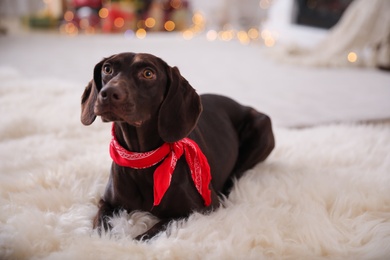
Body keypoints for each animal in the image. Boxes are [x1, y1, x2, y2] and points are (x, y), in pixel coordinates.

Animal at [80, 52, 274, 240]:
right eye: (107, 69)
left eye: (148, 73)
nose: (108, 93)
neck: (142, 160)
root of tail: (243, 105)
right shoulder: (107, 202)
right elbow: (100, 223)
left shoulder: (200, 210)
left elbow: (155, 229)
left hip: (261, 128)